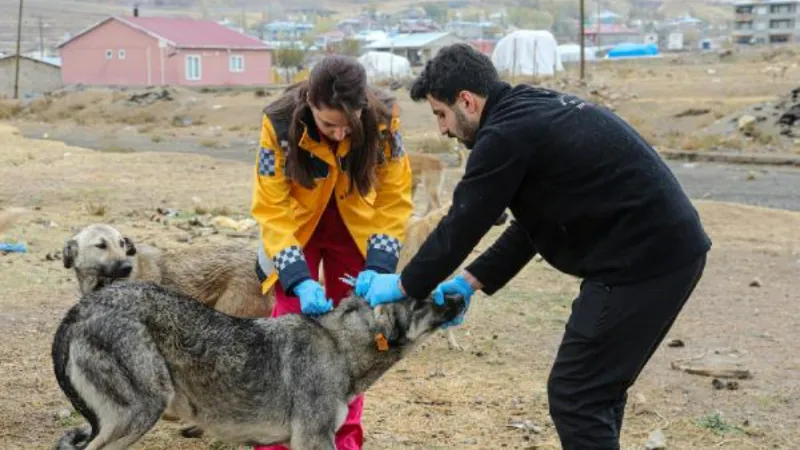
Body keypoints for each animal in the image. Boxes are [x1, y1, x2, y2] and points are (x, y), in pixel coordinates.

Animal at [53, 280, 466, 448]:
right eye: (430, 296)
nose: (461, 294)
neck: (341, 346)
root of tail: (82, 308)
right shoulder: (314, 440)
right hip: (142, 412)